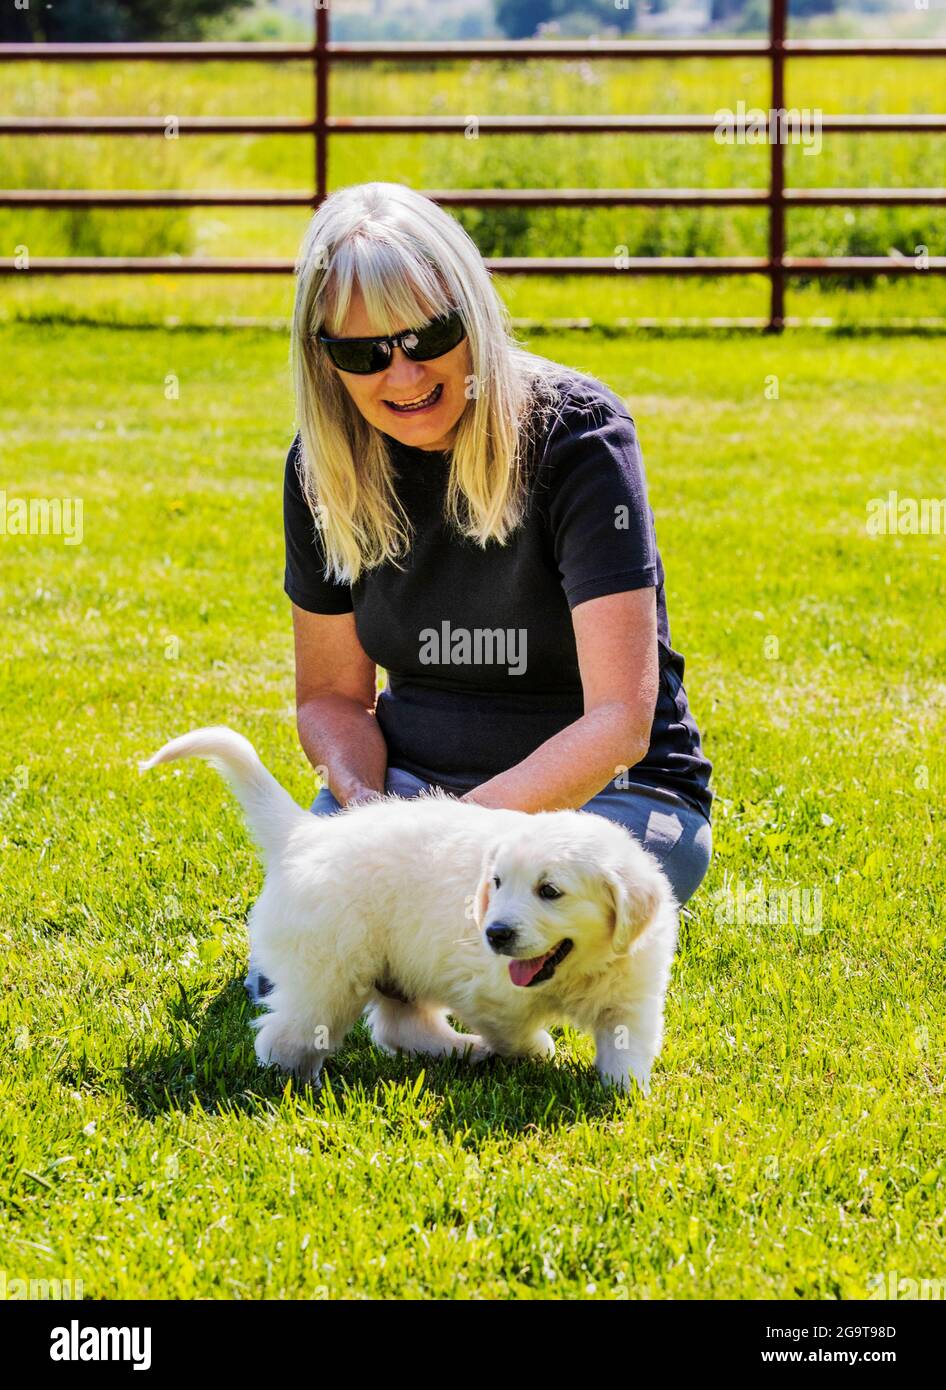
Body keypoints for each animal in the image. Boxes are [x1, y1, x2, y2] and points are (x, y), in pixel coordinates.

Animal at [136, 728, 675, 1095]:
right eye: (497, 883)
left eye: (550, 891)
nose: (495, 934)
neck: (576, 970)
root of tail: (305, 834)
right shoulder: (490, 995)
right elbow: (516, 1033)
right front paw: (539, 1051)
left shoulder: (632, 992)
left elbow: (627, 1044)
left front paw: (626, 1096)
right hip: (329, 975)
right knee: (284, 1036)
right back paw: (299, 1085)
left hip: (399, 964)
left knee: (400, 1027)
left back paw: (460, 1050)